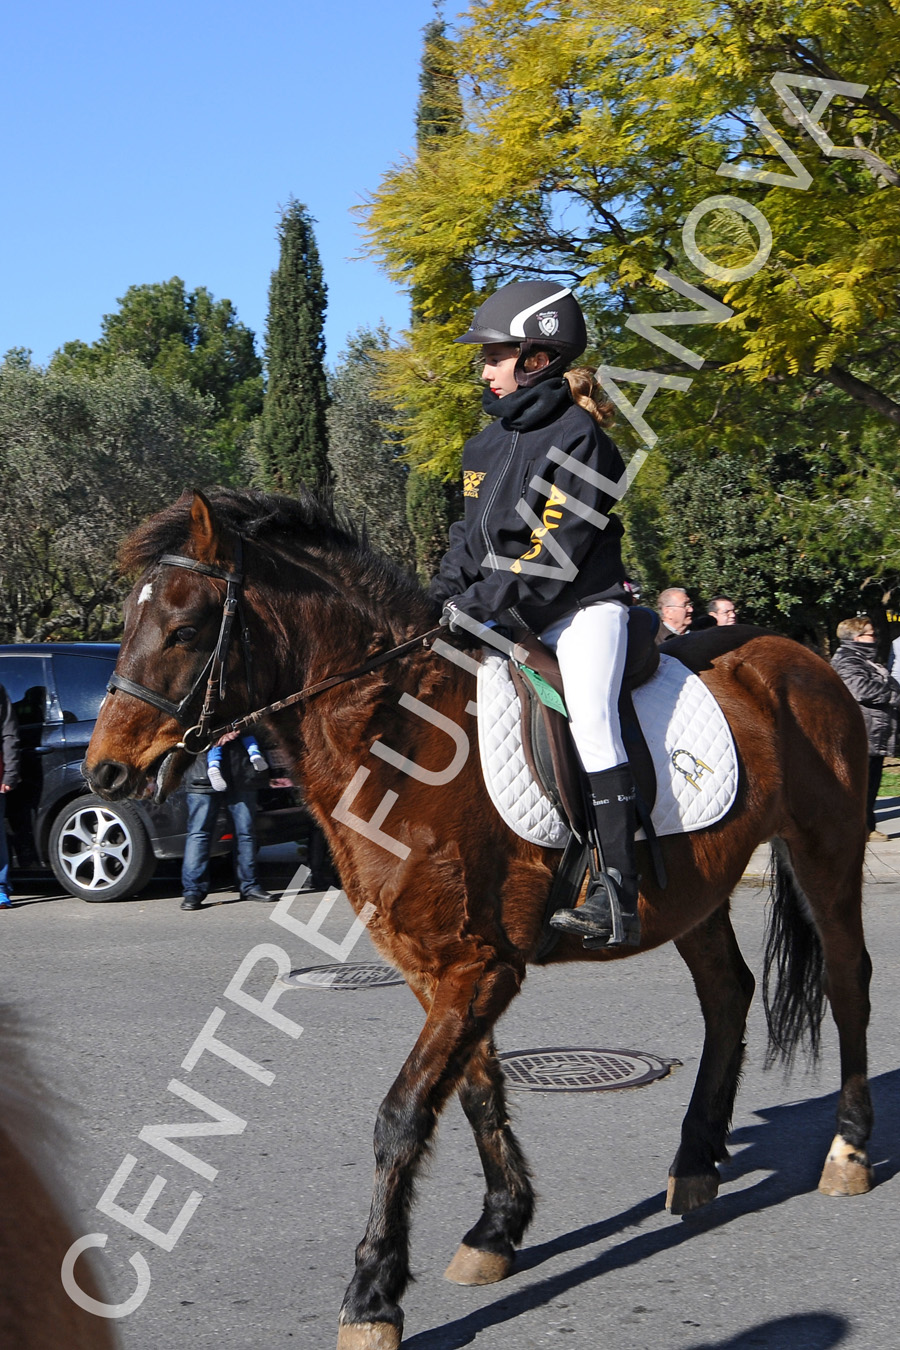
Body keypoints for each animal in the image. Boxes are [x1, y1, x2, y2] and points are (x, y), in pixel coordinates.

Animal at [84, 491, 874, 1350]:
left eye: (185, 627)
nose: (104, 772)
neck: (396, 734)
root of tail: (805, 658)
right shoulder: (436, 969)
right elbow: (473, 1091)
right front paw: (497, 1230)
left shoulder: (479, 967)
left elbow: (401, 1115)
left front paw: (373, 1294)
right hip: (695, 895)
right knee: (728, 995)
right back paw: (695, 1164)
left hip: (828, 852)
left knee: (846, 984)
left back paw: (847, 1152)